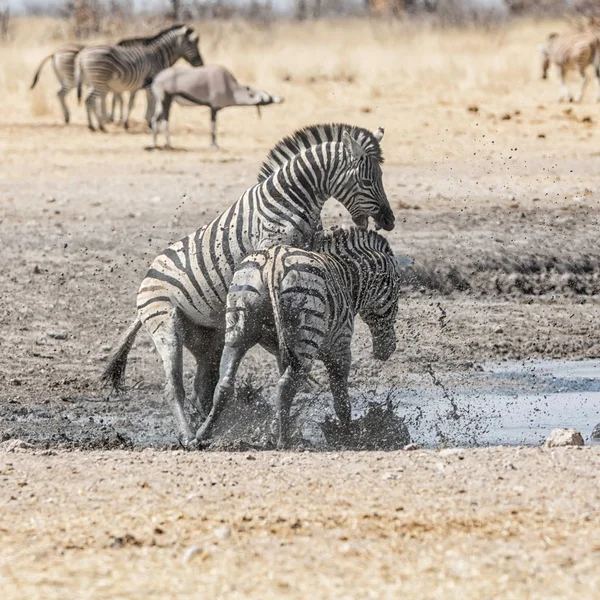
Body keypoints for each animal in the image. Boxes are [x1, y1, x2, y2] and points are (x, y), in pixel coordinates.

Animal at [74, 24, 202, 131]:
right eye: (191, 43)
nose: (200, 64)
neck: (158, 56)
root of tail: (82, 55)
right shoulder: (151, 83)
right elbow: (152, 102)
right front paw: (150, 122)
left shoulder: (138, 86)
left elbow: (133, 104)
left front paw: (127, 123)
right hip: (99, 81)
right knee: (90, 100)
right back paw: (98, 126)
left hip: (92, 82)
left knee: (91, 101)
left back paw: (94, 125)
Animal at [197, 227, 412, 448]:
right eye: (397, 291)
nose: (387, 350)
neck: (346, 278)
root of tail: (273, 263)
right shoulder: (340, 347)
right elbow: (341, 399)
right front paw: (348, 436)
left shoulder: (283, 354)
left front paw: (275, 429)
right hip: (306, 336)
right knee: (285, 386)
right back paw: (284, 442)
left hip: (238, 330)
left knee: (226, 384)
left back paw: (203, 434)